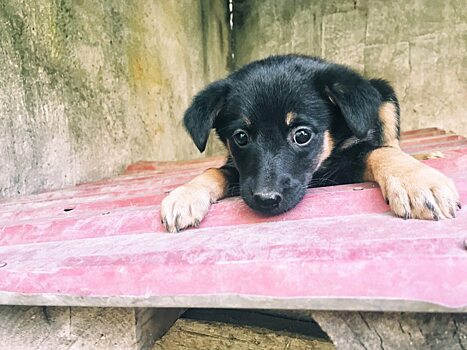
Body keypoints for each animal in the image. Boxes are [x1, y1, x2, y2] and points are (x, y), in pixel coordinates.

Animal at [162, 54, 460, 232]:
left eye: (302, 135)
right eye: (241, 137)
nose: (265, 200)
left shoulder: (346, 162)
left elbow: (378, 152)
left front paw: (417, 181)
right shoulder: (241, 172)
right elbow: (215, 170)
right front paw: (184, 195)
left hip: (385, 96)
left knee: (391, 144)